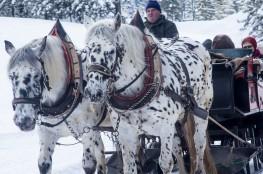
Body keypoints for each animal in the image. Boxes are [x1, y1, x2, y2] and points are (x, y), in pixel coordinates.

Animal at [4, 20, 108, 174]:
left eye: (36, 75)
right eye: (11, 76)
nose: (23, 121)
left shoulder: (88, 131)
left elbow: (89, 165)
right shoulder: (46, 133)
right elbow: (43, 164)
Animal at [83, 14, 219, 174]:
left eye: (111, 51)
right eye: (86, 51)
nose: (93, 92)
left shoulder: (165, 127)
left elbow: (165, 164)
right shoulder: (125, 133)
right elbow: (129, 167)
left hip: (202, 108)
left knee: (198, 142)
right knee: (178, 148)